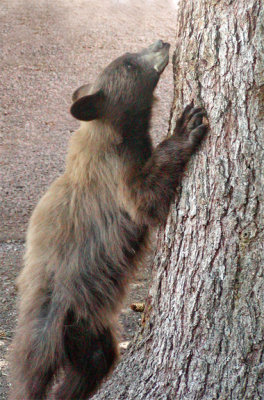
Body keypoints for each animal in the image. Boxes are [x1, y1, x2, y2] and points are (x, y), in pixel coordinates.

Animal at [8, 40, 208, 400]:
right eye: (128, 63)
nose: (161, 43)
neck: (115, 132)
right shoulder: (113, 174)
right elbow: (144, 199)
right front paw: (187, 126)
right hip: (47, 322)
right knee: (31, 374)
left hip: (87, 327)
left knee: (95, 362)